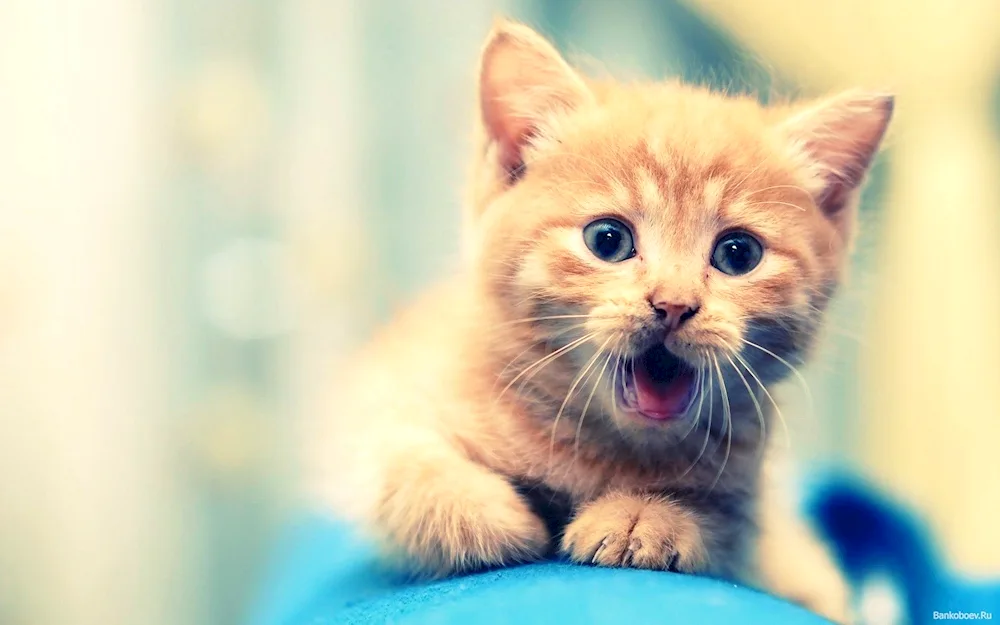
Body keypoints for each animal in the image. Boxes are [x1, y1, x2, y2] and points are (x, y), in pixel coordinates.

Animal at [308, 19, 896, 624]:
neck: (593, 447)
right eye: (607, 240)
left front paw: (647, 516)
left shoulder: (754, 506)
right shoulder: (383, 395)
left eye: (738, 254)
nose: (673, 304)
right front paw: (490, 516)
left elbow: (729, 524)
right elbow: (396, 462)